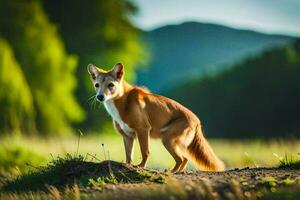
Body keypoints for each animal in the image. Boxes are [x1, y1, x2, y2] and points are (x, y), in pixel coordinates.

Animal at [88, 63, 224, 172]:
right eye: (97, 85)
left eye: (110, 85)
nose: (100, 97)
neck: (123, 104)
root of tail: (197, 120)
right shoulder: (127, 136)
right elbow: (128, 157)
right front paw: (129, 166)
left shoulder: (143, 130)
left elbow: (145, 152)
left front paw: (141, 167)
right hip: (174, 142)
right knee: (184, 159)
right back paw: (177, 172)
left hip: (167, 139)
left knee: (181, 159)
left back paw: (171, 172)